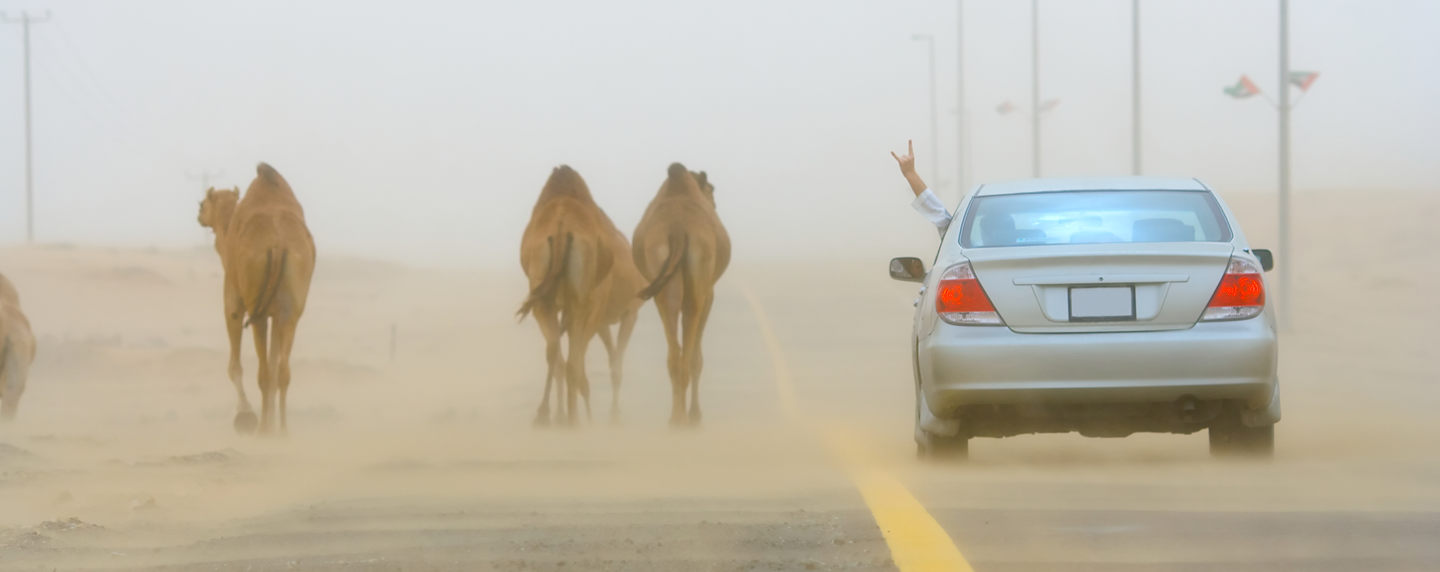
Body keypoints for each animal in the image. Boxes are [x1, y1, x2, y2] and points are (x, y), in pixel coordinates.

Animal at [197, 162, 315, 435]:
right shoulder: (275, 312)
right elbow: (274, 364)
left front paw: (245, 415)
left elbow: (234, 365)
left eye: (202, 204)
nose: (198, 215)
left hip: (255, 304)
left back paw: (262, 430)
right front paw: (268, 422)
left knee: (263, 372)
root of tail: (278, 244)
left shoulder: (233, 295)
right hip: (290, 307)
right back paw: (282, 431)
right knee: (281, 371)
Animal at [518, 164, 642, 423]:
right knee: (573, 364)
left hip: (545, 298)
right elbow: (612, 365)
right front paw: (611, 416)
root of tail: (560, 227)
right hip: (583, 303)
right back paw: (572, 419)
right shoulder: (624, 311)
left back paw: (548, 415)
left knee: (557, 355)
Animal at [633, 162, 731, 426]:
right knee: (689, 353)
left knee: (674, 353)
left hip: (661, 273)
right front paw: (696, 415)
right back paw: (686, 419)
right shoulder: (709, 294)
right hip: (699, 278)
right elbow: (697, 356)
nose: (714, 204)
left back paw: (675, 419)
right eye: (711, 190)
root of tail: (677, 228)